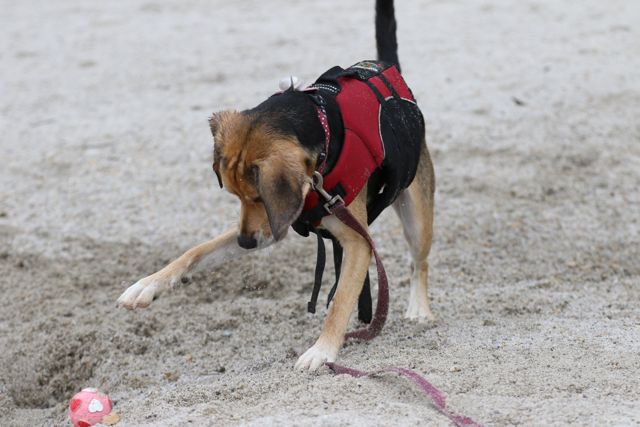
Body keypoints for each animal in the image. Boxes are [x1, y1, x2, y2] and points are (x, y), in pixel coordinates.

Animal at [116, 0, 436, 372]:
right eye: (236, 196)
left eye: (258, 196)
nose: (245, 242)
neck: (324, 129)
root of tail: (387, 68)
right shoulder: (270, 225)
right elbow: (196, 251)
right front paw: (147, 285)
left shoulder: (357, 242)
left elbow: (340, 301)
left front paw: (322, 350)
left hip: (417, 218)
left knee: (418, 263)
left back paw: (419, 309)